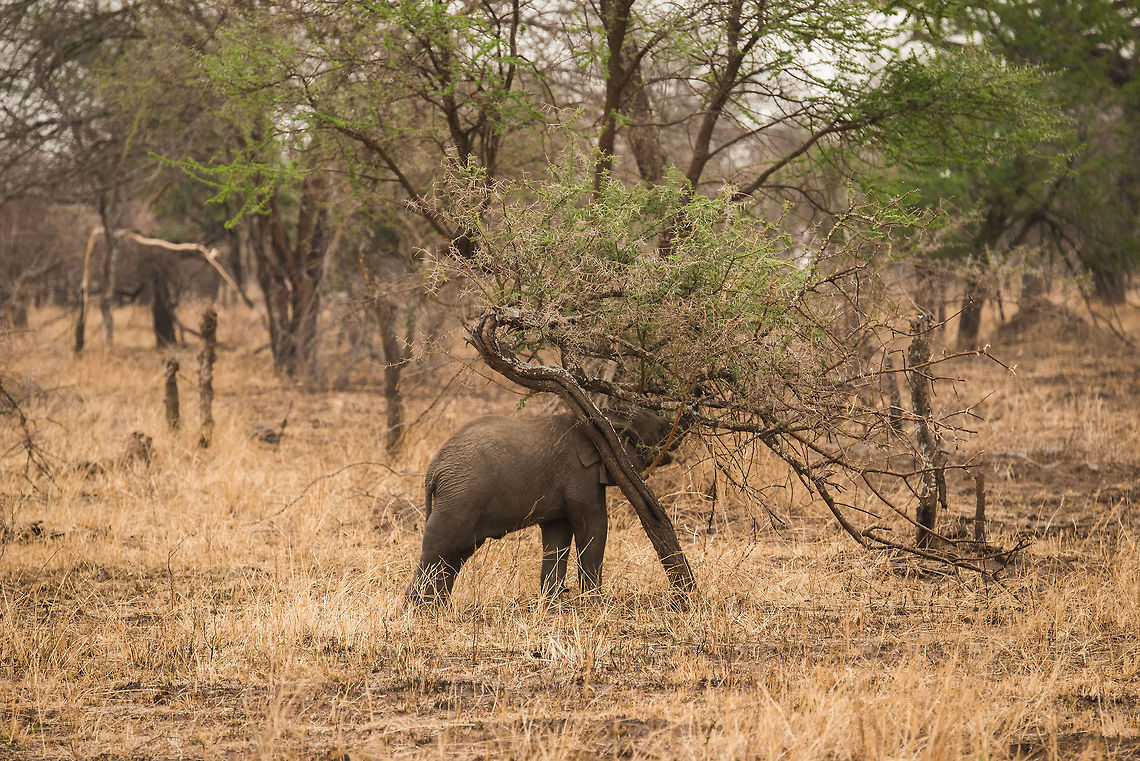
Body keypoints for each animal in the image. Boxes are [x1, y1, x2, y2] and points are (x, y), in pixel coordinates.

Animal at [406, 408, 676, 606]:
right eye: (660, 430)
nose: (674, 429)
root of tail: (433, 471)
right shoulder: (580, 474)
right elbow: (593, 526)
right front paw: (595, 604)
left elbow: (558, 535)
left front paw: (553, 606)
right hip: (459, 499)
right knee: (439, 548)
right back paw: (417, 610)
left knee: (454, 554)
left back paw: (436, 608)